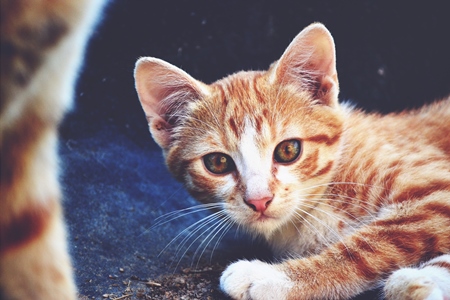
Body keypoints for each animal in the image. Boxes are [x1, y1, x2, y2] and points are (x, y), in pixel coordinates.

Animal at [134, 22, 450, 298]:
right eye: (218, 163)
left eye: (288, 150)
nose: (259, 200)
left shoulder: (438, 190)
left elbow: (369, 245)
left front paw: (273, 278)